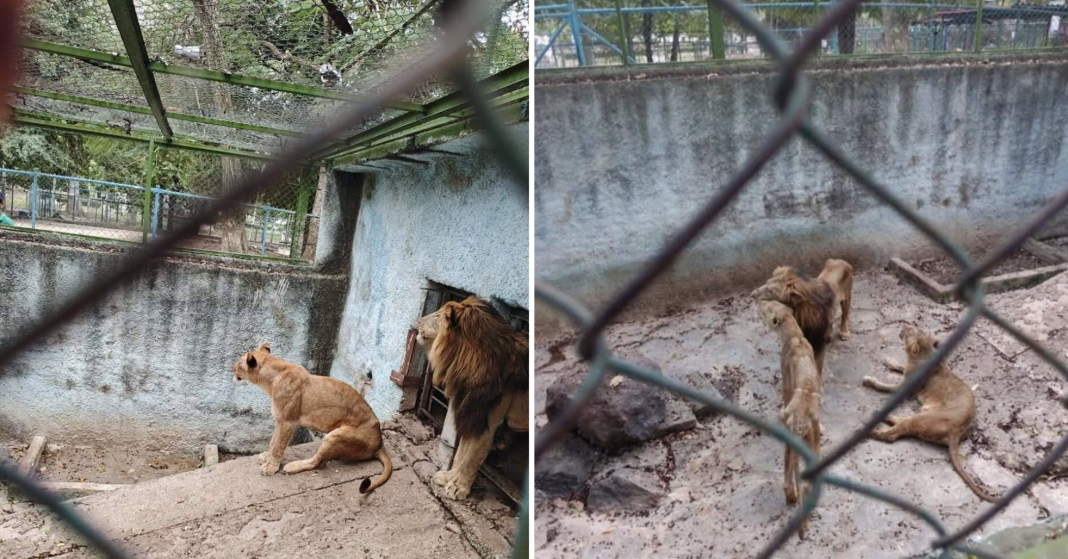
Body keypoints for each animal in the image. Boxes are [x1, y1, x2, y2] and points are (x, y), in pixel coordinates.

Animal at [231, 343, 392, 494]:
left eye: (239, 364)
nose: (231, 369)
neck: (271, 381)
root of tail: (380, 443)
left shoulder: (288, 422)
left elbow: (278, 446)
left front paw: (271, 467)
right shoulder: (280, 420)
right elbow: (273, 442)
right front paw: (267, 458)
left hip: (335, 436)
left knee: (318, 463)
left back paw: (292, 466)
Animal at [415, 296, 528, 500]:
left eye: (437, 316)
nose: (419, 321)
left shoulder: (486, 421)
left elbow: (471, 458)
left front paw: (458, 487)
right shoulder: (470, 410)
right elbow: (461, 452)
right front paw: (449, 477)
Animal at [756, 300, 821, 538]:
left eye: (767, 308)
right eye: (772, 304)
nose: (758, 302)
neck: (795, 334)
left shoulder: (785, 380)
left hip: (790, 434)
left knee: (788, 474)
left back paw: (791, 497)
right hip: (814, 440)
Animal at [861, 324, 998, 502]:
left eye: (910, 331)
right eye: (914, 328)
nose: (903, 324)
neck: (923, 355)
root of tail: (957, 432)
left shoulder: (904, 389)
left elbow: (882, 385)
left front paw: (870, 380)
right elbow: (900, 365)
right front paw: (889, 360)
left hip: (923, 418)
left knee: (894, 433)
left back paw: (871, 429)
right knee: (901, 424)